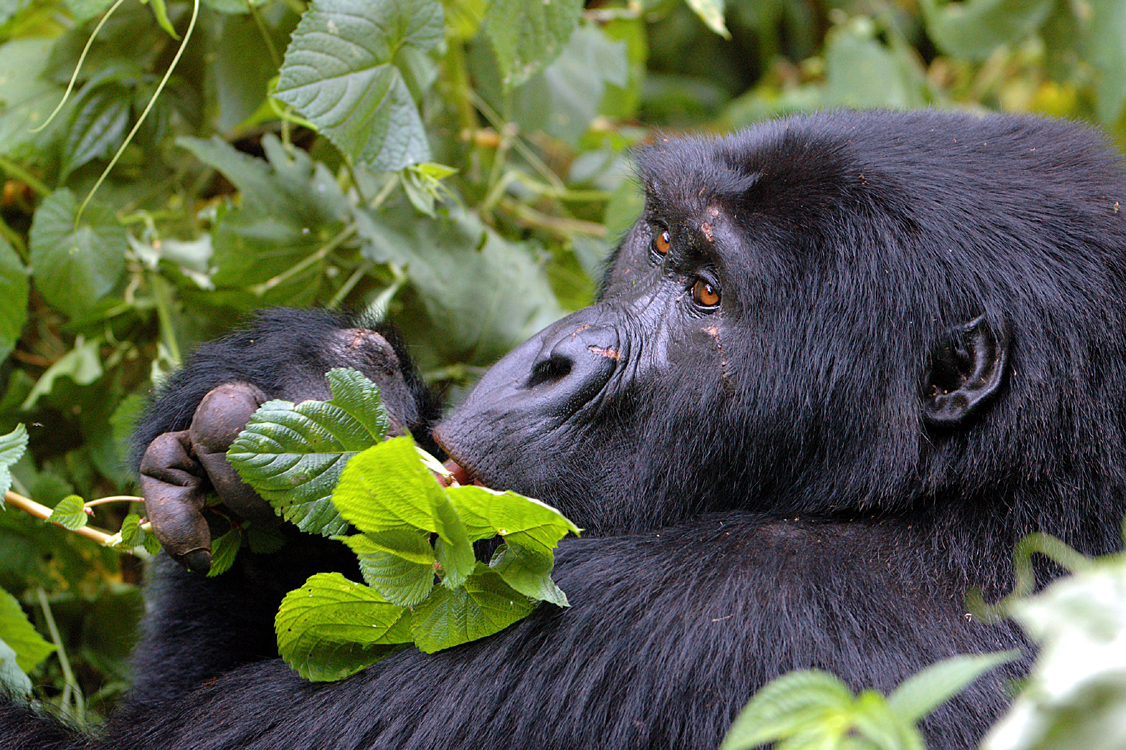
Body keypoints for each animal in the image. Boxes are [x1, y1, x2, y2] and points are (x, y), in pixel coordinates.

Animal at [2, 109, 1126, 747]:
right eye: (661, 244)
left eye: (709, 296)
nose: (558, 358)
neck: (987, 494)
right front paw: (288, 390)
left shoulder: (696, 618)